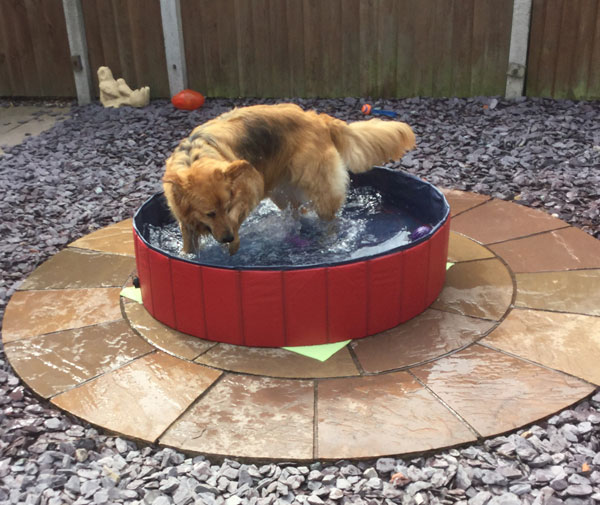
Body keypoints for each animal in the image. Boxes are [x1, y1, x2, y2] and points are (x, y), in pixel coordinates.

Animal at [162, 102, 414, 254]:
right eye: (210, 213)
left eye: (228, 206)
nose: (227, 237)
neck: (194, 156)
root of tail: (319, 119)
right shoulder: (185, 219)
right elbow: (188, 242)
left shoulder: (250, 189)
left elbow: (236, 218)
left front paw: (233, 248)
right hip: (281, 192)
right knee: (296, 212)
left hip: (320, 190)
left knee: (330, 220)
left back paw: (329, 242)